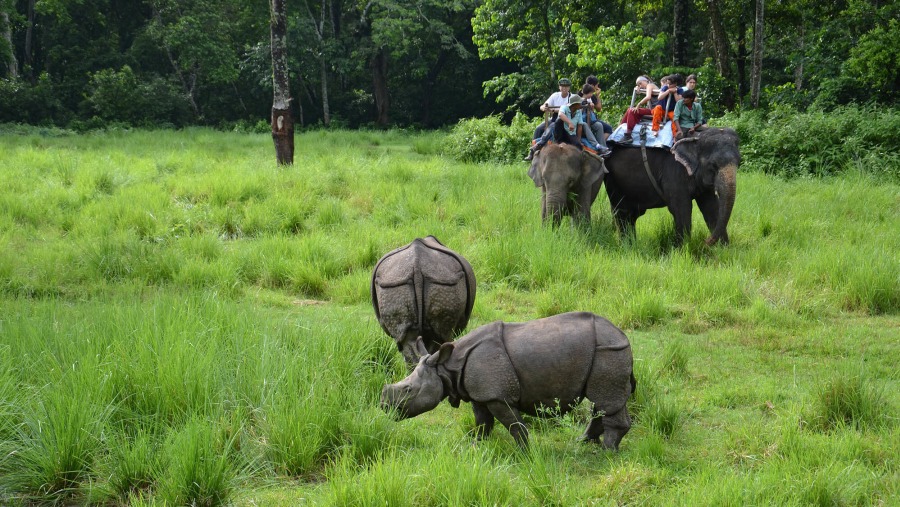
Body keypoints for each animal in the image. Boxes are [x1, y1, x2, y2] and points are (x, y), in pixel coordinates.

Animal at [378, 312, 632, 450]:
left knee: (605, 401)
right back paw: (583, 442)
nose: (383, 407)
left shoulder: (498, 396)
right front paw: (476, 448)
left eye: (408, 389)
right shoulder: (480, 394)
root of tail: (623, 336)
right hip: (606, 352)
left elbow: (514, 425)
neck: (446, 367)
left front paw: (525, 454)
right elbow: (482, 424)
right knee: (601, 403)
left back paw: (607, 453)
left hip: (608, 352)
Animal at [604, 127, 740, 246]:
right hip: (613, 181)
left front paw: (723, 249)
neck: (696, 137)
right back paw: (627, 246)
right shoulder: (673, 171)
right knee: (623, 213)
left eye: (738, 163)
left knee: (632, 216)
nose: (704, 242)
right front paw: (684, 249)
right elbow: (682, 208)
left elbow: (712, 208)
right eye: (713, 166)